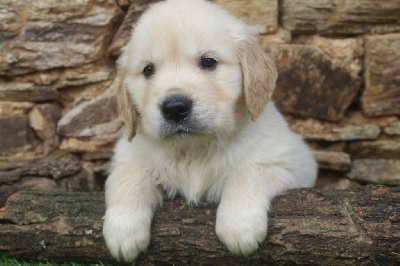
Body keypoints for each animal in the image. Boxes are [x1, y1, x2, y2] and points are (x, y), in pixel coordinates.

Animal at [102, 0, 316, 262]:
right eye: (148, 70)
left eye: (208, 62)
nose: (175, 108)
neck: (194, 149)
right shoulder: (129, 155)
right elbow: (127, 178)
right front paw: (122, 233)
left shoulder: (290, 162)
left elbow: (249, 173)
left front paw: (239, 226)